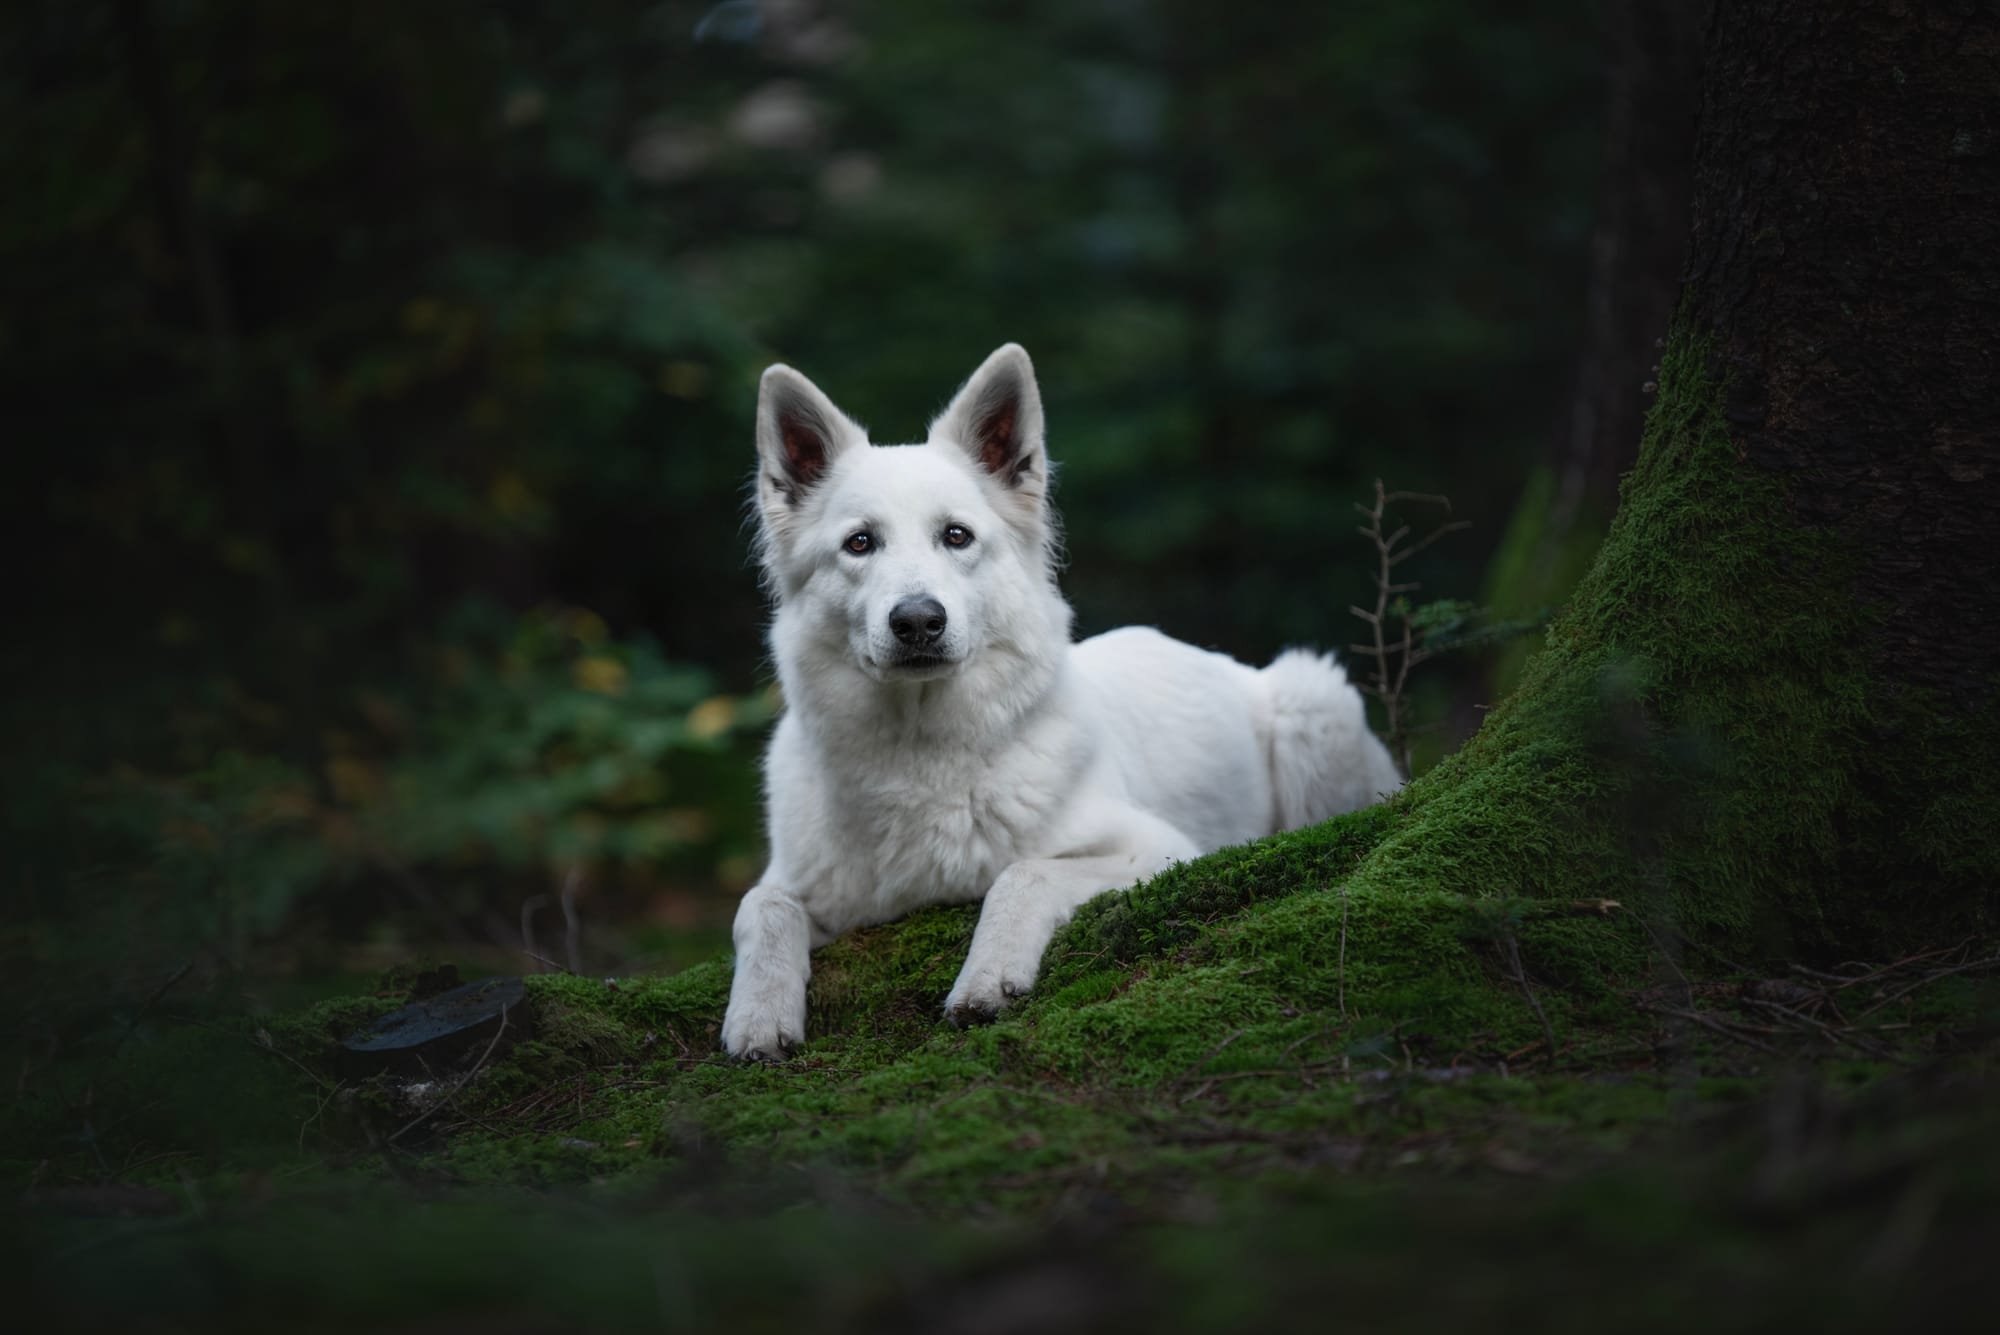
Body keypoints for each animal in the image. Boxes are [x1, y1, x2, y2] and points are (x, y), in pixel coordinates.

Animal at [724, 347, 1408, 1063]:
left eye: (956, 536)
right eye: (860, 543)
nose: (917, 622)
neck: (923, 755)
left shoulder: (1159, 851)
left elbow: (1023, 873)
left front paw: (987, 976)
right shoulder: (803, 885)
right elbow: (759, 907)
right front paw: (757, 1016)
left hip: (1311, 703)